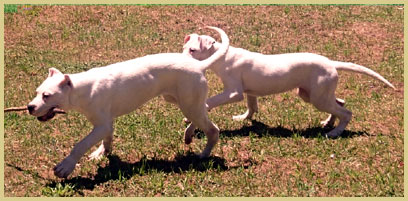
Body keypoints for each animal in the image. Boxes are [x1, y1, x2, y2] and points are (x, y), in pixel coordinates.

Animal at [26, 26, 230, 177]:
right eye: (36, 93)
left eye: (46, 95)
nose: (29, 107)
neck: (81, 89)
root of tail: (199, 65)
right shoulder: (106, 124)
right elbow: (107, 139)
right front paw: (102, 153)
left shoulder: (101, 126)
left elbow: (80, 145)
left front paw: (65, 166)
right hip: (182, 100)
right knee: (204, 109)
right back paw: (189, 134)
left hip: (189, 104)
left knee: (213, 129)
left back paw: (204, 154)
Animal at [182, 29, 396, 138]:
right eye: (184, 48)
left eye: (193, 50)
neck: (221, 55)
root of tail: (331, 63)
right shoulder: (249, 92)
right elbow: (252, 106)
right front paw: (244, 118)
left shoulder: (234, 92)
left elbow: (211, 101)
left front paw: (191, 116)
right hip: (313, 94)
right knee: (340, 103)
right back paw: (328, 123)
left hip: (318, 98)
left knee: (347, 112)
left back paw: (335, 132)